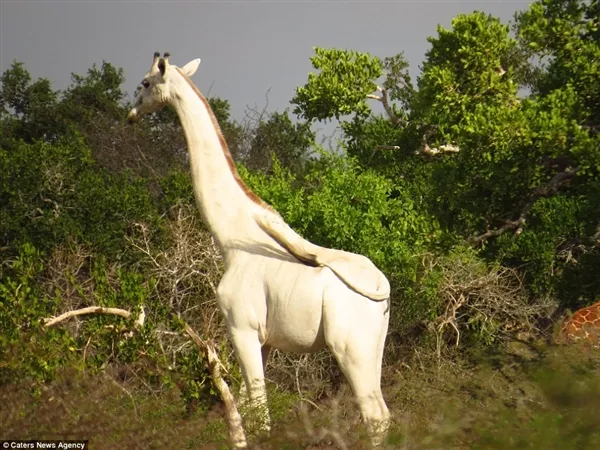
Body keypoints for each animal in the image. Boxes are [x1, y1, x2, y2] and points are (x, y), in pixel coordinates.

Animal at [127, 52, 392, 442]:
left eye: (145, 83)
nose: (131, 113)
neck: (232, 240)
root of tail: (381, 287)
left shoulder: (242, 327)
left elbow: (258, 415)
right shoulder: (262, 340)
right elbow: (242, 410)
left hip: (349, 346)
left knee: (374, 415)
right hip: (374, 346)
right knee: (384, 414)